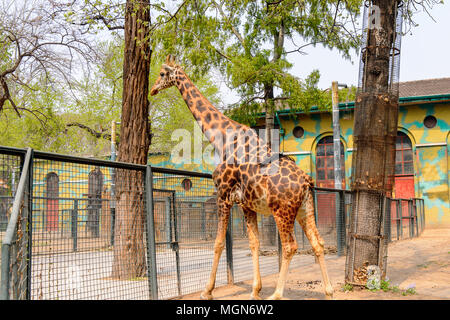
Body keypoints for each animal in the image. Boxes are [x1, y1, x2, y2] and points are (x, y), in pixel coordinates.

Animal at [149, 55, 332, 300]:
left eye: (162, 73)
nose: (153, 89)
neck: (221, 137)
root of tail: (306, 182)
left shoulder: (223, 195)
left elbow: (218, 243)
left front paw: (207, 291)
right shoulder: (246, 204)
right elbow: (254, 243)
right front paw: (255, 290)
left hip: (282, 211)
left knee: (290, 246)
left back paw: (277, 294)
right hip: (305, 209)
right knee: (318, 242)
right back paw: (329, 291)